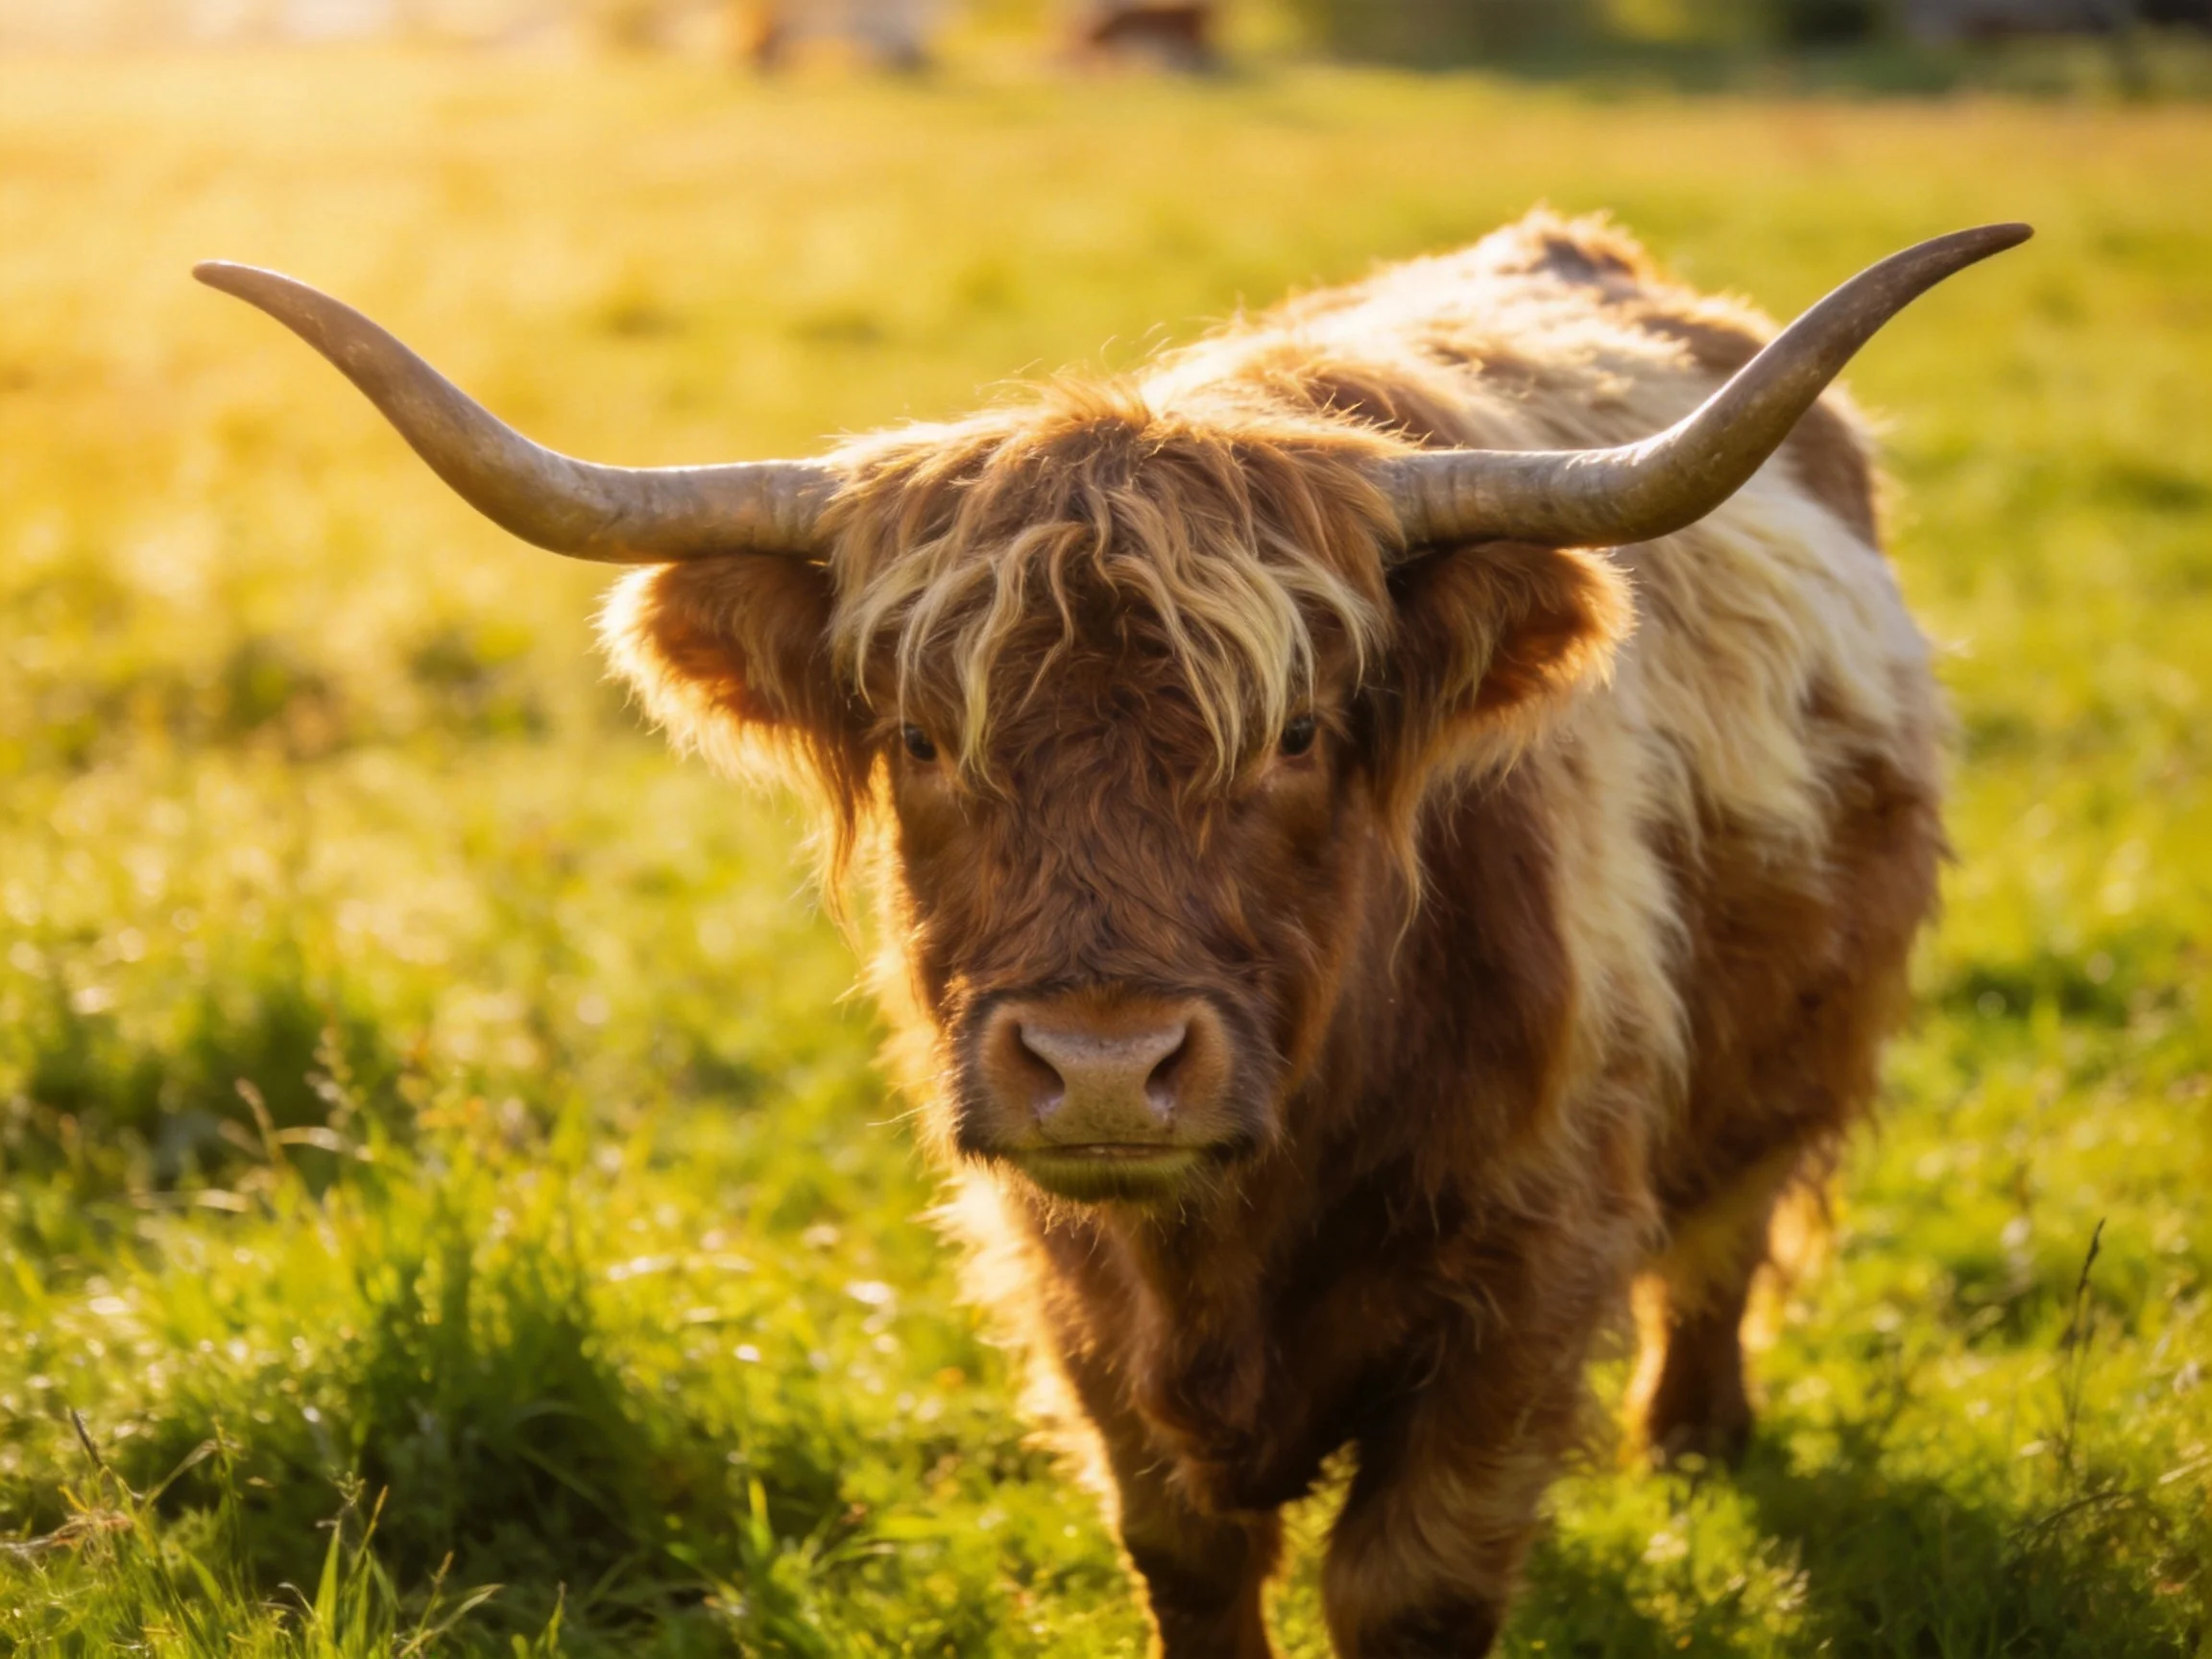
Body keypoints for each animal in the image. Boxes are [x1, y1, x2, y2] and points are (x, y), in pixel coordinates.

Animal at [195, 210, 2027, 1656]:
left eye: (1298, 730)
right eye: (922, 738)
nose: (1096, 1065)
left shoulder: (1526, 1277)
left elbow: (1406, 1586)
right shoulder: (1069, 1296)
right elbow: (1188, 1557)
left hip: (1789, 1060)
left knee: (1722, 1241)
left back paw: (1696, 1443)